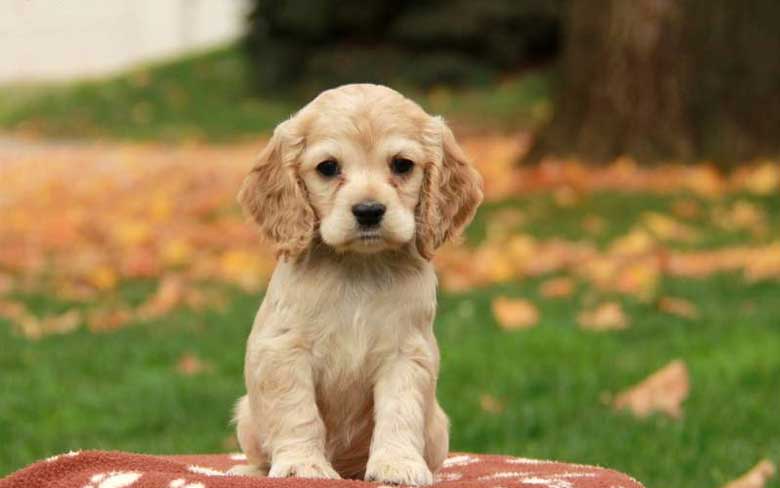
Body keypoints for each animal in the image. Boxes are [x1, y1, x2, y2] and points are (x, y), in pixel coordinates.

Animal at [229, 83, 478, 484]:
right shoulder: (284, 351)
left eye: (402, 165)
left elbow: (399, 412)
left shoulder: (406, 354)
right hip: (248, 418)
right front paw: (302, 465)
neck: (358, 267)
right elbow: (297, 412)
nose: (369, 211)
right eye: (328, 167)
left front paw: (397, 465)